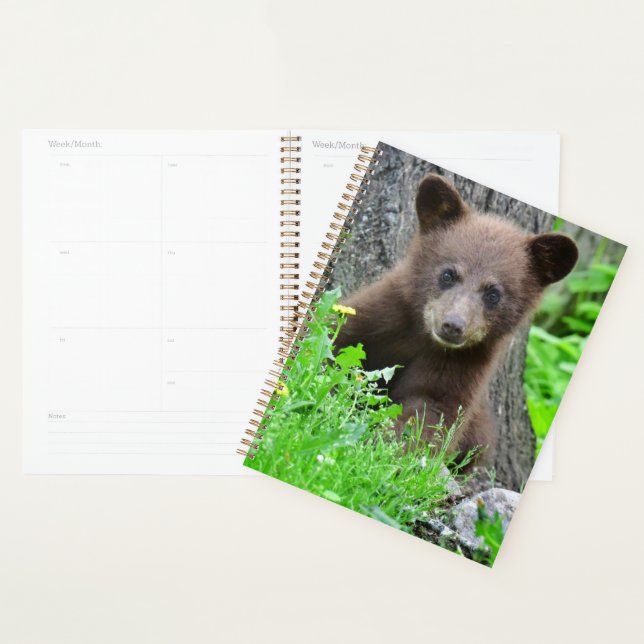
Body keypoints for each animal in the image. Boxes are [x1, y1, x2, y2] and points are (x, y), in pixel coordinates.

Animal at [335, 173, 578, 463]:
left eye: (493, 293)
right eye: (448, 274)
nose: (452, 325)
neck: (423, 337)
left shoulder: (464, 364)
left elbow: (431, 409)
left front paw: (387, 450)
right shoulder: (381, 315)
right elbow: (339, 343)